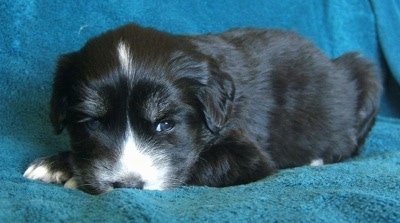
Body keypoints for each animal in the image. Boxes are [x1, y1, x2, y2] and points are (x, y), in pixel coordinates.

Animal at [23, 23, 380, 193]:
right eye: (93, 123)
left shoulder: (248, 153)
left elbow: (199, 164)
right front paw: (56, 165)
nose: (126, 186)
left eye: (165, 124)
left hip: (367, 74)